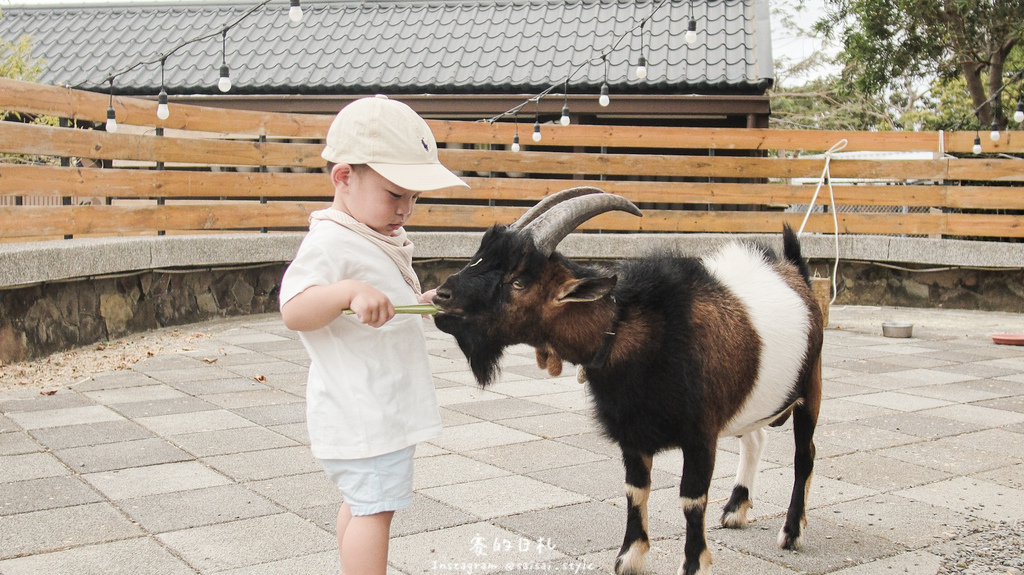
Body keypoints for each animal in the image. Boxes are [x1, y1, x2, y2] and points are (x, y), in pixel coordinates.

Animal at [432, 188, 823, 572]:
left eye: (518, 281)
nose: (441, 296)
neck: (627, 331)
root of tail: (795, 272)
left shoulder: (701, 435)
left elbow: (692, 499)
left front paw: (693, 563)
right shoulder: (632, 435)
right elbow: (635, 491)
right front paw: (629, 557)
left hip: (811, 386)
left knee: (804, 455)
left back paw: (791, 533)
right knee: (755, 437)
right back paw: (735, 511)